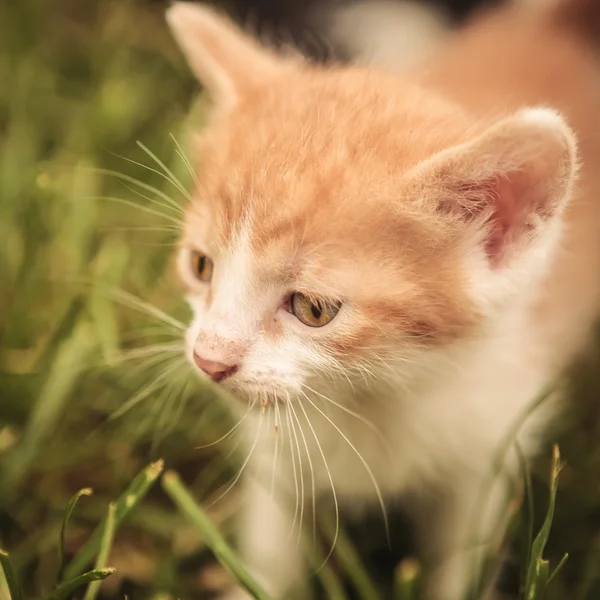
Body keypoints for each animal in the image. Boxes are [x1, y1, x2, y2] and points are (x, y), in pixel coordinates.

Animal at [166, 1, 600, 596]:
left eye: (313, 309)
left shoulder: (488, 446)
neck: (376, 396)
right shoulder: (276, 455)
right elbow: (273, 547)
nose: (209, 359)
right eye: (201, 266)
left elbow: (461, 560)